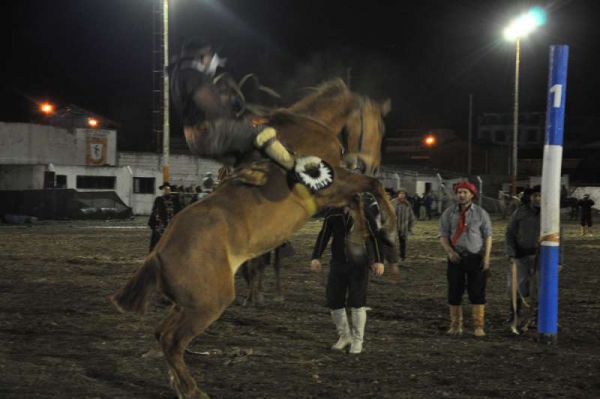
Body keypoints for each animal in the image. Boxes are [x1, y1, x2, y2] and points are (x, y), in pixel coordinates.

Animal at [110, 79, 396, 399]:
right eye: (378, 125)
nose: (370, 163)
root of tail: (157, 254)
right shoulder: (330, 187)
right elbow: (371, 186)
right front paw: (388, 226)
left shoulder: (334, 194)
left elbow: (358, 199)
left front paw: (361, 236)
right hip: (208, 303)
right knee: (172, 339)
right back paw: (193, 390)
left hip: (187, 303)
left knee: (162, 334)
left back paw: (180, 384)